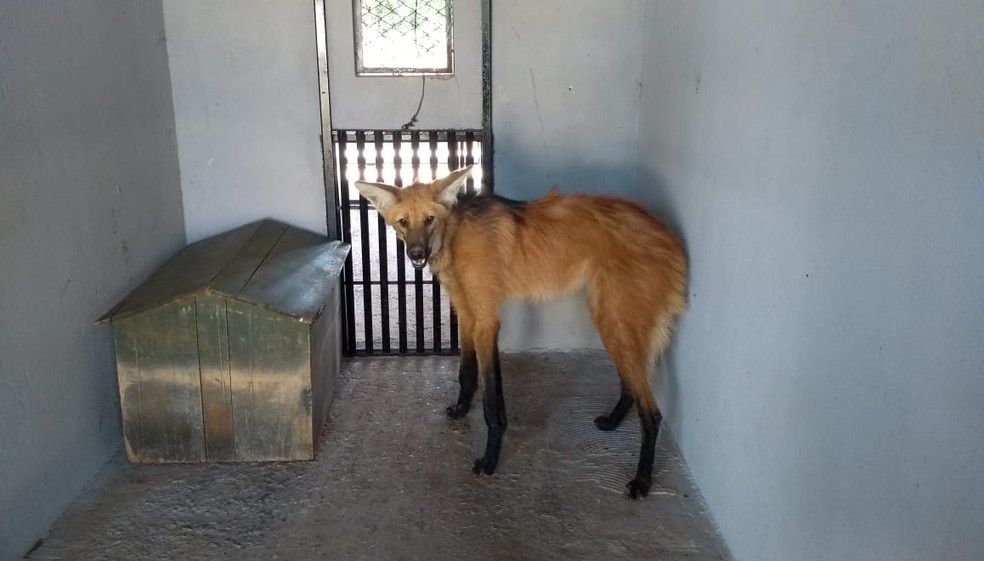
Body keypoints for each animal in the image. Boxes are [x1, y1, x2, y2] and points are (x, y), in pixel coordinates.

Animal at [354, 166, 687, 498]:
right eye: (403, 222)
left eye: (429, 219)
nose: (416, 253)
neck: (454, 236)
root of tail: (668, 234)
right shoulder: (467, 314)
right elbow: (466, 373)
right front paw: (461, 410)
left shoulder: (486, 320)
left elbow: (491, 401)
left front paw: (489, 461)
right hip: (613, 320)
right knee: (632, 383)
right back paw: (613, 422)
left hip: (612, 319)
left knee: (652, 411)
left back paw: (642, 481)